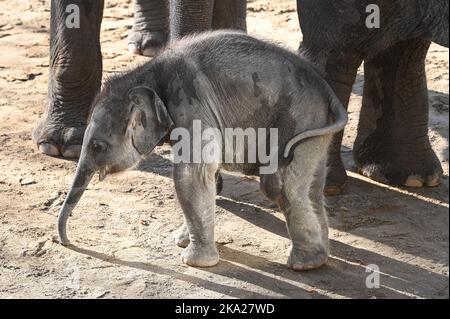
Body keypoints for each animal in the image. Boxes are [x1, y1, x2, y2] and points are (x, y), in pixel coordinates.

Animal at [58, 30, 346, 272]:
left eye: (97, 146)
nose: (66, 242)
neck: (145, 73)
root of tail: (328, 91)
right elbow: (203, 177)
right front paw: (180, 240)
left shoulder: (191, 104)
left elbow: (191, 175)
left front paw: (193, 262)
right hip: (314, 126)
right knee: (308, 185)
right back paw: (317, 260)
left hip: (300, 119)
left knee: (279, 185)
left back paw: (303, 265)